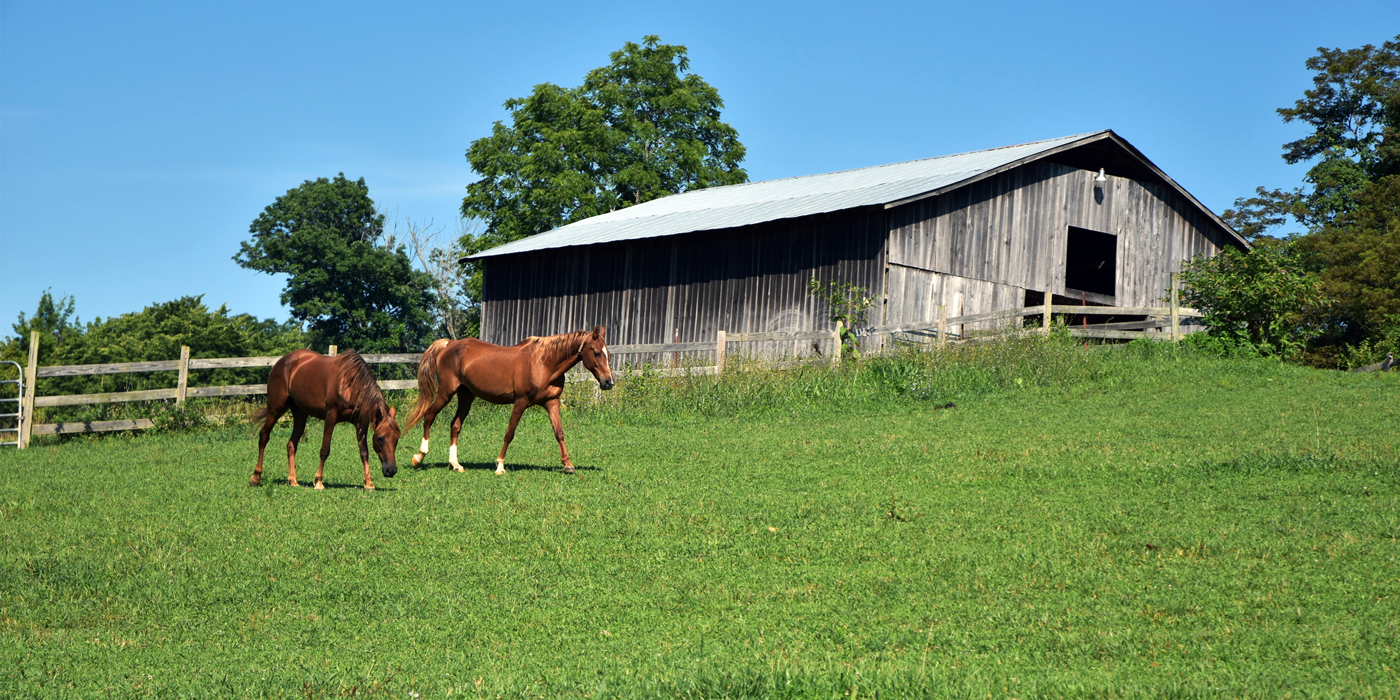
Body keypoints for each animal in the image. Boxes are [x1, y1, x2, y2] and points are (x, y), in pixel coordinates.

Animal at [250, 347, 400, 490]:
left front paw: (368, 483)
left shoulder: (361, 422)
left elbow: (364, 451)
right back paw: (256, 477)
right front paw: (318, 482)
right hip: (275, 409)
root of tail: (281, 361)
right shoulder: (331, 416)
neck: (350, 384)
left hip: (300, 415)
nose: (391, 470)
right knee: (264, 436)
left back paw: (293, 480)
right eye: (380, 438)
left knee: (291, 444)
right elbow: (324, 450)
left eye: (397, 438)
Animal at [403, 324, 616, 473]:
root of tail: (449, 344)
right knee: (429, 416)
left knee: (455, 425)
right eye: (596, 352)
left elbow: (559, 433)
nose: (608, 382)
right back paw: (419, 457)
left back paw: (455, 464)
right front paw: (500, 465)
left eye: (608, 354)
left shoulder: (551, 402)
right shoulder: (520, 402)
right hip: (446, 392)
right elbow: (509, 433)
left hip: (466, 396)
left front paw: (568, 465)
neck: (544, 363)